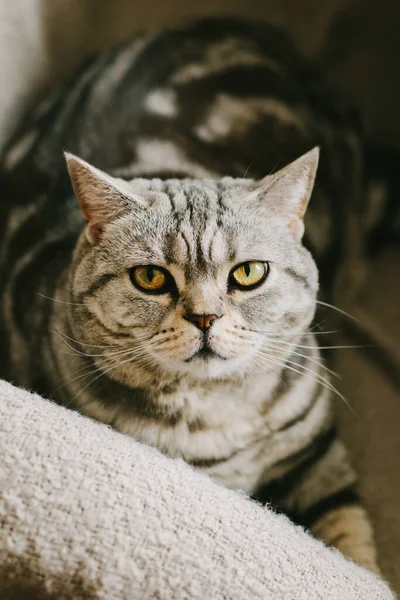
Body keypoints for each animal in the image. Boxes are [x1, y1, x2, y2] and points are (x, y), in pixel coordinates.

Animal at [0, 17, 380, 572]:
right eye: (151, 278)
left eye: (248, 273)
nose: (204, 318)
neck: (220, 415)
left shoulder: (318, 457)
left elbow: (354, 549)